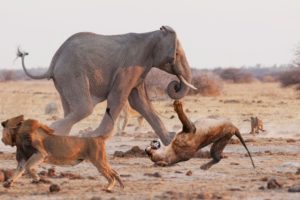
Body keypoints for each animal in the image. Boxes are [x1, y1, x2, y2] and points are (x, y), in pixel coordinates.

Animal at [17, 25, 196, 145]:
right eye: (176, 54)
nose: (175, 85)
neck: (152, 34)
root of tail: (54, 60)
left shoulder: (139, 69)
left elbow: (140, 102)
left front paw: (170, 140)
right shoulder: (130, 66)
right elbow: (119, 97)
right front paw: (94, 136)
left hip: (64, 79)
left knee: (72, 109)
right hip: (72, 74)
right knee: (85, 108)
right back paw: (52, 130)